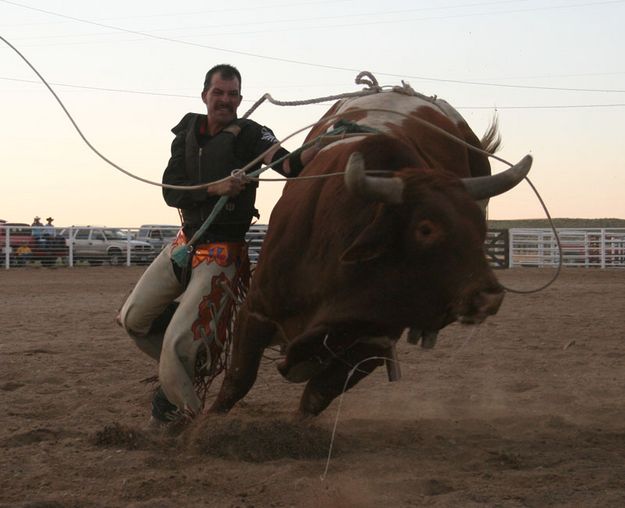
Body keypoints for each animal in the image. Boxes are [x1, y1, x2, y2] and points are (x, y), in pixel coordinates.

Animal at [211, 90, 532, 416]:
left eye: (480, 226)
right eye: (425, 229)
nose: (489, 296)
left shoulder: (376, 343)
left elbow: (316, 396)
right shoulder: (256, 310)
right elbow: (237, 381)